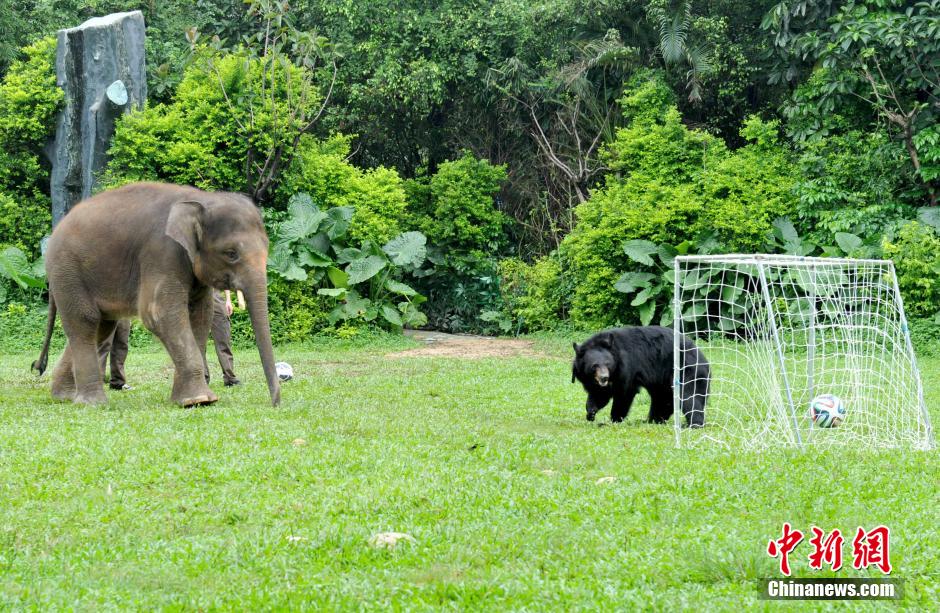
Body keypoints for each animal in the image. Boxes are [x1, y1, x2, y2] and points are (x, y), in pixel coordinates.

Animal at [34, 182, 282, 406]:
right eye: (231, 253)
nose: (275, 403)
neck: (201, 199)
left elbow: (200, 317)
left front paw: (192, 400)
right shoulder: (162, 251)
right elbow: (159, 313)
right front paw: (199, 400)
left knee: (100, 327)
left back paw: (64, 397)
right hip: (67, 270)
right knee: (86, 321)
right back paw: (92, 403)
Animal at [568, 326, 708, 426]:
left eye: (607, 364)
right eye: (594, 366)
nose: (604, 377)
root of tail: (701, 355)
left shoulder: (626, 369)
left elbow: (624, 393)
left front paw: (614, 419)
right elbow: (600, 394)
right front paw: (590, 413)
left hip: (688, 369)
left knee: (690, 397)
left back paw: (693, 424)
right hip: (662, 380)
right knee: (663, 399)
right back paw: (654, 420)